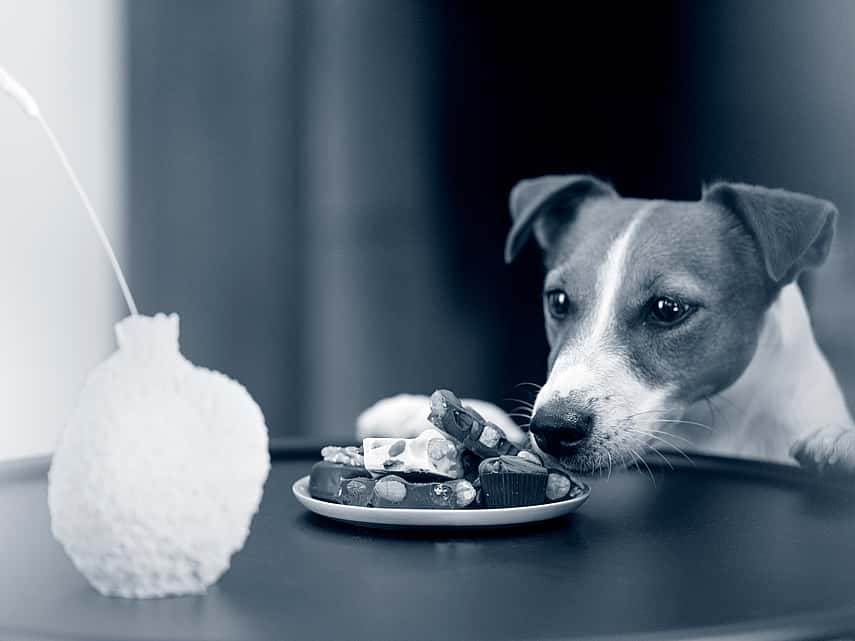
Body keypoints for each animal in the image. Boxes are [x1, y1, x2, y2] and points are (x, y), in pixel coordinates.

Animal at [358, 175, 852, 476]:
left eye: (668, 308)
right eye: (558, 300)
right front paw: (411, 412)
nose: (552, 428)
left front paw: (841, 444)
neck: (712, 428)